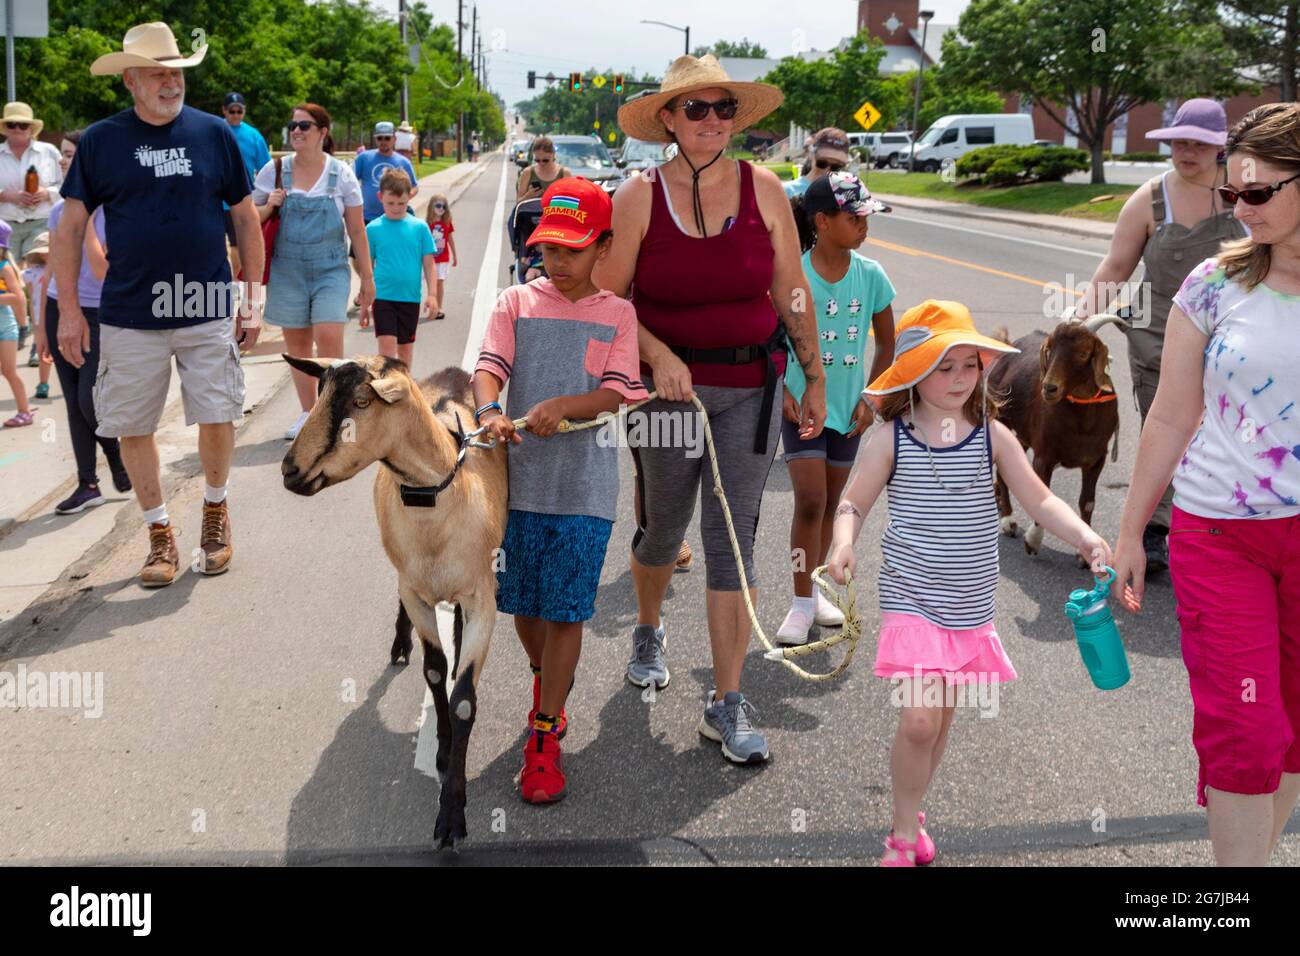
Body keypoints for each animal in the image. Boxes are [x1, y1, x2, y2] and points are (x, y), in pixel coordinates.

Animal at [279, 356, 506, 848]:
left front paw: (452, 814)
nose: (288, 470)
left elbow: (463, 698)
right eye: (320, 393)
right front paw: (442, 752)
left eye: (362, 402)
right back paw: (401, 645)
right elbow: (434, 670)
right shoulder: (414, 592)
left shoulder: (484, 597)